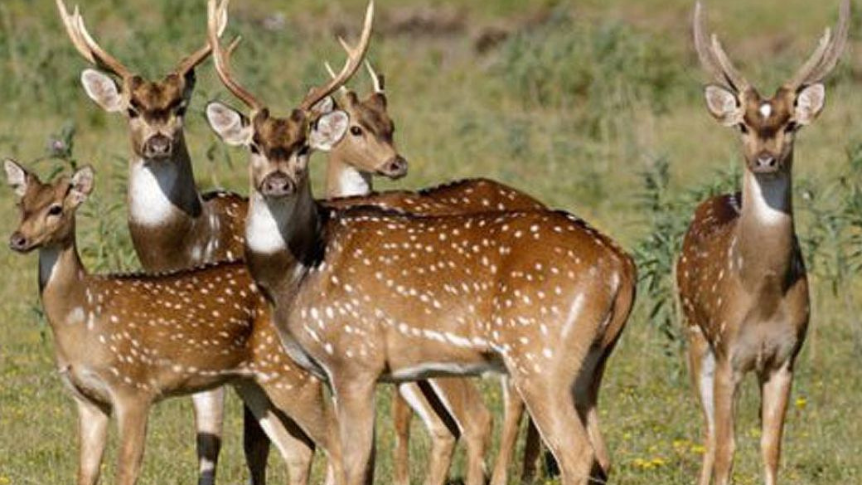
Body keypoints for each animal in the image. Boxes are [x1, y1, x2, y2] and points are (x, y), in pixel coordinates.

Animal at [4, 162, 348, 484]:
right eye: (21, 204)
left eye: (55, 208)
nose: (17, 239)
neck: (82, 313)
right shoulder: (86, 399)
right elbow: (86, 472)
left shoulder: (133, 387)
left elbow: (126, 469)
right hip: (253, 382)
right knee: (299, 449)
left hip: (293, 374)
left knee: (335, 442)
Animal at [54, 0, 276, 480]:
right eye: (132, 108)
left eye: (179, 107)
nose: (158, 143)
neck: (188, 244)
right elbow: (208, 436)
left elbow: (248, 439)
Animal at [202, 1, 636, 482]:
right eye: (254, 146)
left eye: (303, 148)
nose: (277, 183)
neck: (298, 274)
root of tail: (620, 264)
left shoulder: (354, 358)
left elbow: (354, 462)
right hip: (588, 365)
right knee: (599, 455)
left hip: (541, 354)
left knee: (574, 452)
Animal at [680, 1, 852, 482]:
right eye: (742, 125)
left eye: (791, 123)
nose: (765, 159)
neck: (762, 291)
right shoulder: (728, 355)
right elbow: (727, 448)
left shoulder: (784, 358)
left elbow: (770, 447)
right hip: (694, 332)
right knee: (708, 431)